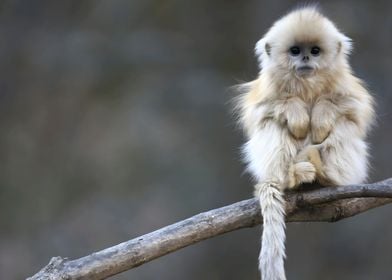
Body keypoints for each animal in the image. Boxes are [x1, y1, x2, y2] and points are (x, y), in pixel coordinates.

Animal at [234, 6, 376, 280]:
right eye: (295, 51)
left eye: (315, 51)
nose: (306, 59)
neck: (307, 85)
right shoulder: (266, 90)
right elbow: (261, 111)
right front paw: (297, 113)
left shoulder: (346, 86)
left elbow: (354, 108)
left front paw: (320, 115)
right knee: (272, 124)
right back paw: (293, 176)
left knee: (344, 125)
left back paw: (324, 172)